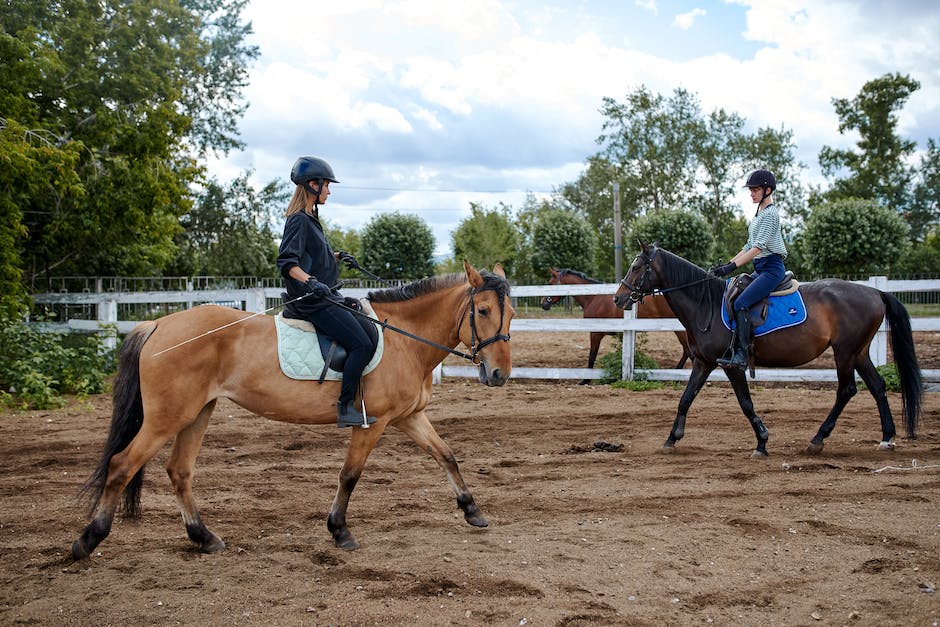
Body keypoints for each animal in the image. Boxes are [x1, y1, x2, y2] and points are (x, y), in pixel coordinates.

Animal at [73, 262, 516, 556]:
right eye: (482, 311)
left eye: (511, 313)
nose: (498, 375)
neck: (404, 339)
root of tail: (158, 325)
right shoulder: (371, 424)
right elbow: (350, 475)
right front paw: (339, 531)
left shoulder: (409, 417)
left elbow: (447, 455)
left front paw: (472, 511)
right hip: (168, 417)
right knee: (121, 465)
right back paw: (88, 540)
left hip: (197, 412)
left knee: (179, 471)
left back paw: (203, 537)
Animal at [540, 264, 692, 382]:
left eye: (550, 283)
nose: (543, 303)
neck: (593, 298)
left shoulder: (595, 333)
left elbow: (592, 356)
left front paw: (585, 380)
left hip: (681, 331)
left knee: (688, 351)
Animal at [612, 244, 920, 456]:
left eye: (637, 267)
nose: (618, 298)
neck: (706, 305)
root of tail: (875, 292)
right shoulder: (703, 362)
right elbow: (685, 399)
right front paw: (671, 439)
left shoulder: (730, 365)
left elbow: (745, 403)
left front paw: (761, 442)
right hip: (859, 352)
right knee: (878, 386)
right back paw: (887, 437)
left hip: (844, 353)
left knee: (847, 390)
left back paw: (818, 439)